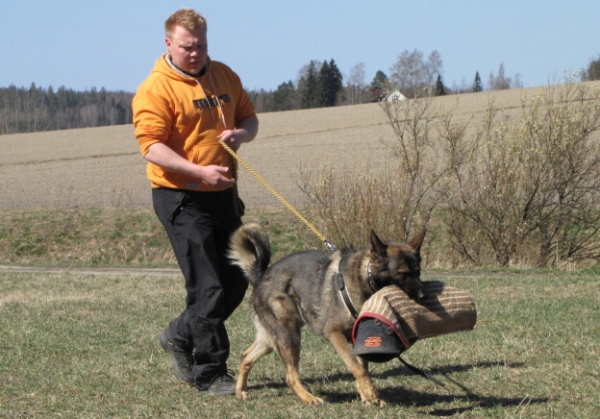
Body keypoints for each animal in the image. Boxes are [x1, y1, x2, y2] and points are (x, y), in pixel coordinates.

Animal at [226, 225, 426, 406]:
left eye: (418, 272)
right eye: (402, 274)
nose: (423, 296)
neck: (365, 277)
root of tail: (260, 277)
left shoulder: (358, 338)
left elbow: (362, 366)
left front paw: (367, 395)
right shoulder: (334, 333)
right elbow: (356, 367)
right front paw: (370, 394)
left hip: (272, 338)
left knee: (246, 356)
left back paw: (240, 392)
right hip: (290, 336)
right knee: (290, 376)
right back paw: (309, 398)